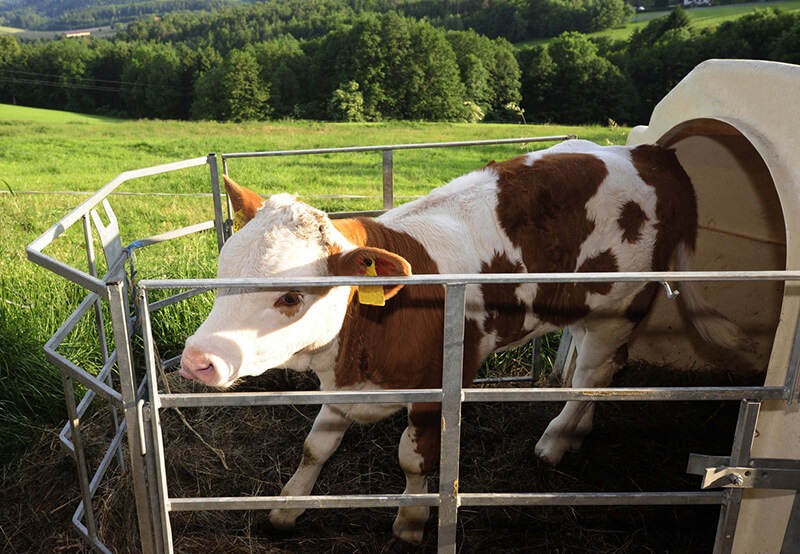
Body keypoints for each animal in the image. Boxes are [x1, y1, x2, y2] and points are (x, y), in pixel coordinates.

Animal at [181, 139, 744, 548]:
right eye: (221, 273)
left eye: (292, 296)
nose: (196, 360)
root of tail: (651, 153)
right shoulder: (343, 383)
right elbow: (315, 446)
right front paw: (287, 508)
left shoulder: (437, 387)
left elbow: (414, 460)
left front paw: (410, 523)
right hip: (588, 306)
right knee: (605, 367)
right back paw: (579, 433)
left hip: (622, 304)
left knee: (593, 373)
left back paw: (556, 440)